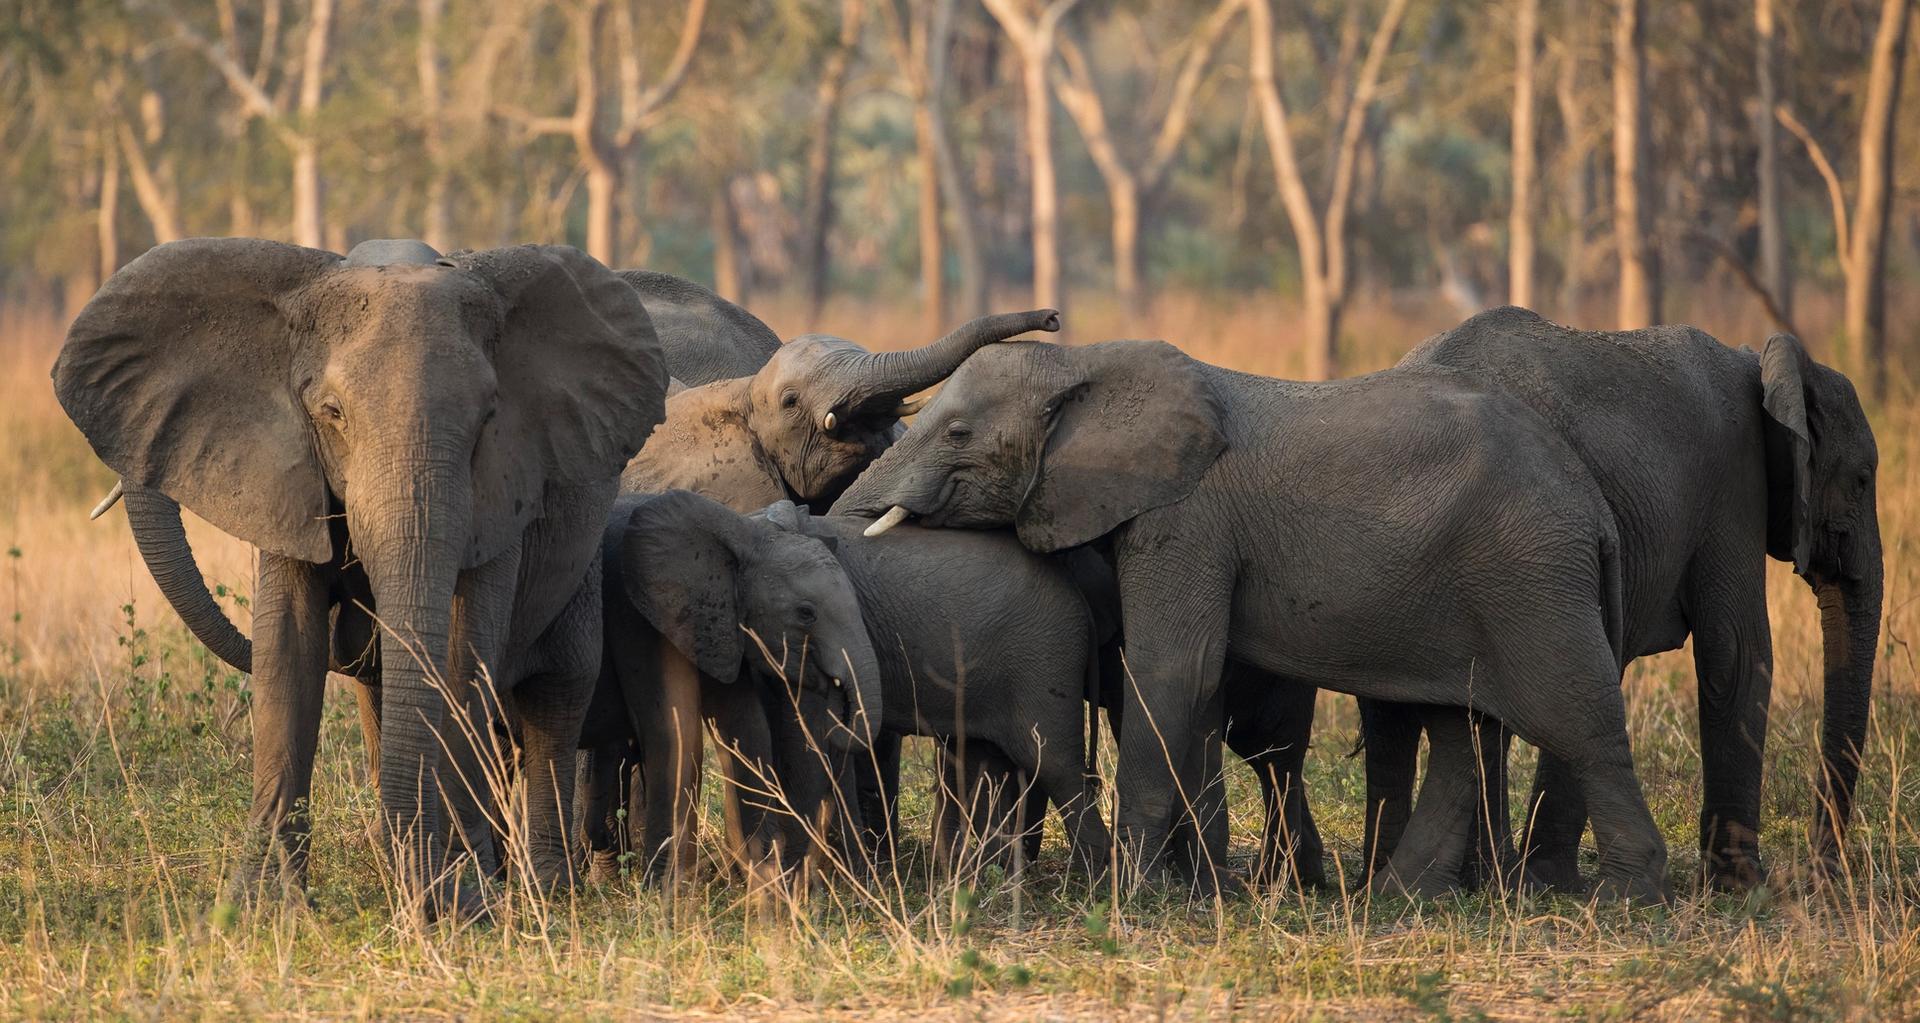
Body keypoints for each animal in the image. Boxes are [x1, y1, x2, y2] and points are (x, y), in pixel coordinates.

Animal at [55, 237, 668, 912]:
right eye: (332, 414)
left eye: (487, 419)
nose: (433, 897)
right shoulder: (289, 470)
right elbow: (287, 647)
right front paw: (262, 909)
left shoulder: (504, 490)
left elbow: (464, 653)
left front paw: (461, 899)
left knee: (555, 696)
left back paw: (540, 888)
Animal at [577, 489, 882, 883]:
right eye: (805, 613)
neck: (744, 532)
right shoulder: (636, 617)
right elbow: (671, 729)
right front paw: (662, 887)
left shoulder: (718, 623)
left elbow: (745, 726)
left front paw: (764, 876)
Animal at [833, 338, 1671, 901]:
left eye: (958, 433)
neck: (1086, 362)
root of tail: (1592, 504)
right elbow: (1192, 685)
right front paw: (1192, 887)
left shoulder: (1188, 518)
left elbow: (1172, 667)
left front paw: (1134, 891)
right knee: (1462, 730)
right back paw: (1398, 896)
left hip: (1530, 574)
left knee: (1578, 719)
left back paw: (1629, 895)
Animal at [1361, 307, 1883, 892]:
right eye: (1862, 480)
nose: (1822, 875)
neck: (1763, 364)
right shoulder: (1733, 483)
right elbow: (1735, 652)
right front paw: (1742, 888)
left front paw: (1548, 881)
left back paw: (1478, 878)